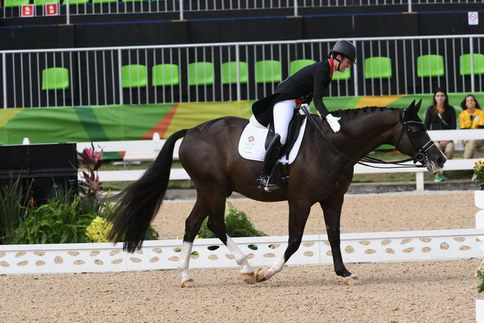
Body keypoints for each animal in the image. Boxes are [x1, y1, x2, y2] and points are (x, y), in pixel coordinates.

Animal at [108, 100, 446, 288]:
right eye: (415, 129)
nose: (440, 159)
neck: (333, 145)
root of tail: (190, 131)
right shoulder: (300, 200)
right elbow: (294, 241)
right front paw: (266, 273)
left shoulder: (333, 199)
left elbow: (334, 235)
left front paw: (345, 273)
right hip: (214, 189)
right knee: (215, 224)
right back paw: (247, 269)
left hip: (208, 190)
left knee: (193, 224)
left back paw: (187, 277)